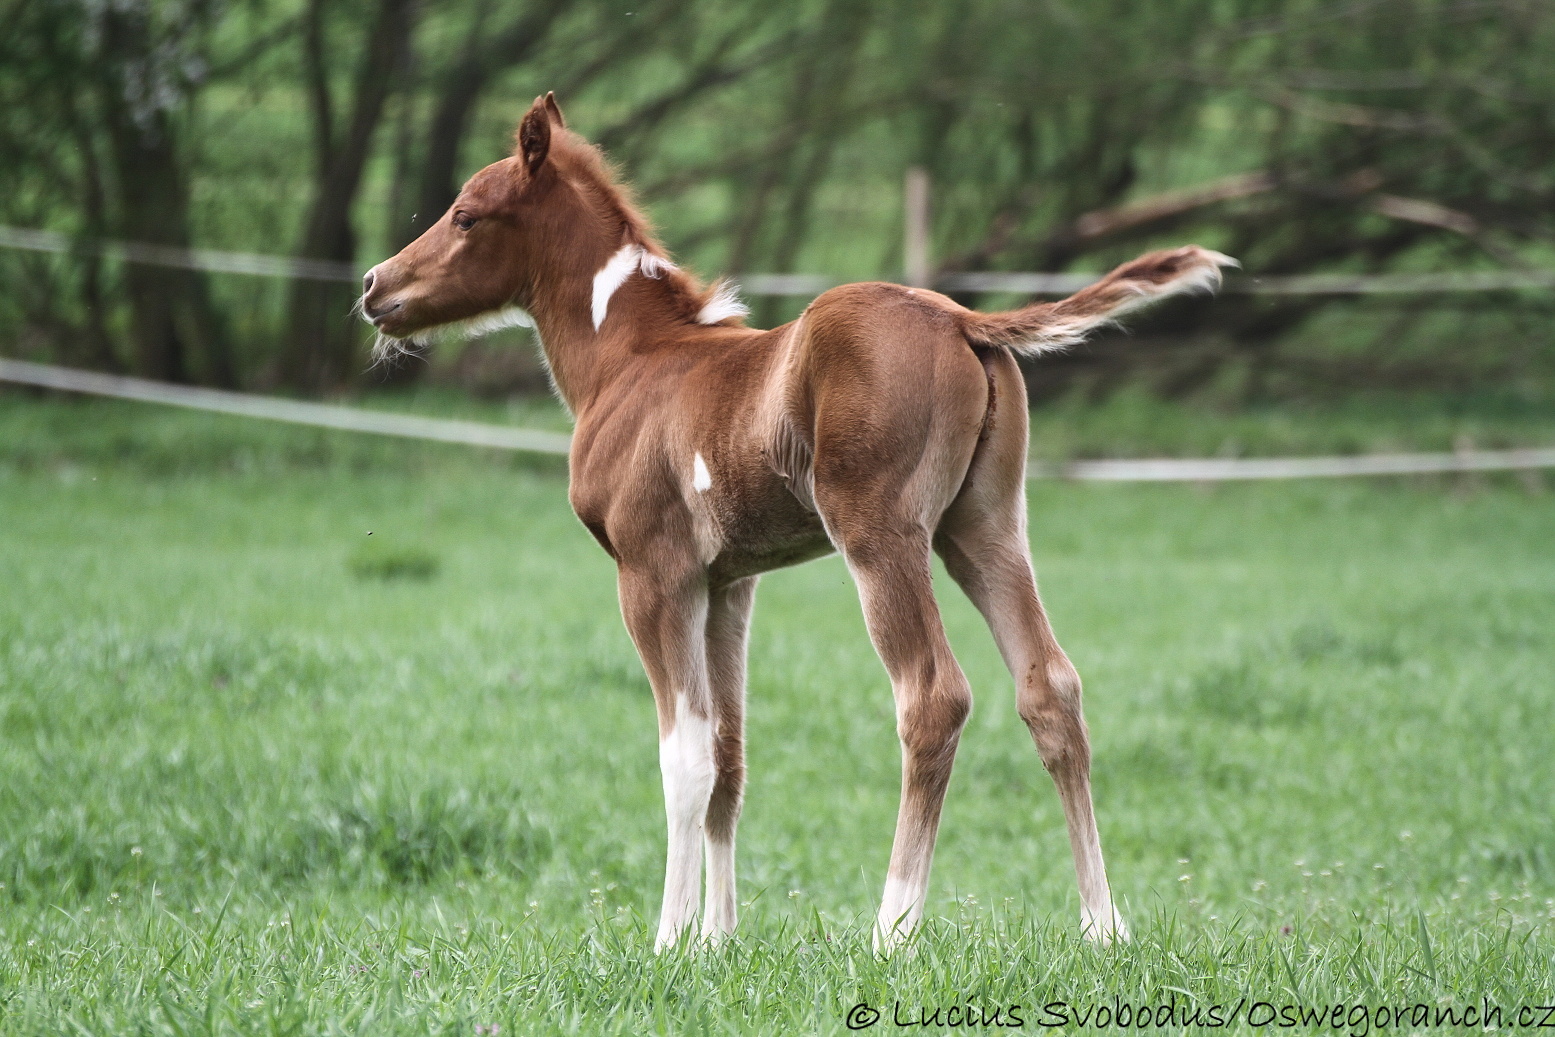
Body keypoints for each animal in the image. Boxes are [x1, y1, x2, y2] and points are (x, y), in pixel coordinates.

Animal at [357, 93, 1231, 951]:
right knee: (1049, 688)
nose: (372, 285)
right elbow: (728, 755)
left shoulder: (655, 574)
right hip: (985, 529)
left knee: (932, 696)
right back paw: (1102, 927)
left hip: (880, 535)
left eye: (466, 214)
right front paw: (718, 939)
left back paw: (891, 930)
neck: (631, 362)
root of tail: (963, 320)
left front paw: (668, 941)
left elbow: (684, 756)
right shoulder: (728, 583)